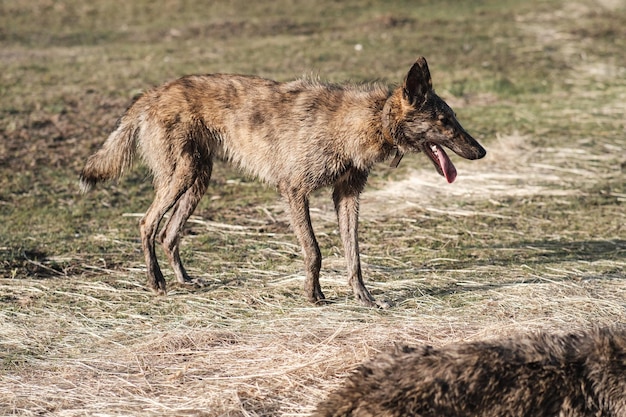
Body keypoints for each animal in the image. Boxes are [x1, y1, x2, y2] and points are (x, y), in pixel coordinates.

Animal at [79, 56, 482, 306]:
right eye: (445, 121)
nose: (482, 152)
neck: (367, 119)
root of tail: (151, 93)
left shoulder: (347, 196)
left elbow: (353, 256)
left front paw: (364, 298)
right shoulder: (294, 191)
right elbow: (314, 251)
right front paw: (313, 295)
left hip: (197, 179)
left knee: (168, 232)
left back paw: (184, 280)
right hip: (183, 176)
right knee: (148, 224)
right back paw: (156, 282)